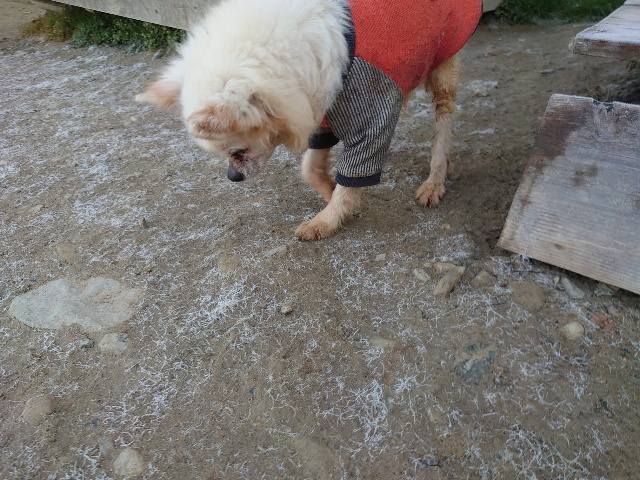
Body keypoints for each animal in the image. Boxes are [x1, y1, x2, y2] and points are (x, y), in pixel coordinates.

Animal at [137, 0, 482, 240]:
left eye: (239, 151)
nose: (233, 178)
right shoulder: (319, 107)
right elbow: (310, 168)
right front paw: (333, 195)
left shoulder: (370, 113)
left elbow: (355, 170)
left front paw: (327, 219)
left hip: (445, 63)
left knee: (444, 120)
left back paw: (435, 178)